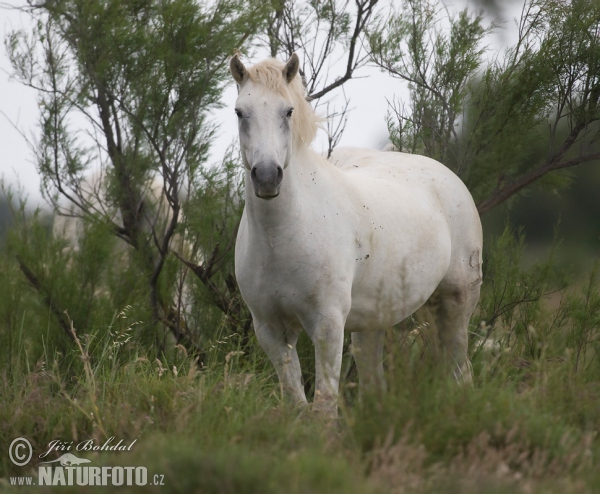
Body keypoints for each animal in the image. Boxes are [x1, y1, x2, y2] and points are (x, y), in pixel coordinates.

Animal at [230, 54, 482, 416]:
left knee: (460, 370)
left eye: (288, 111)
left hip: (456, 302)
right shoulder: (270, 330)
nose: (266, 177)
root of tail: (449, 177)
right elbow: (297, 402)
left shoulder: (328, 325)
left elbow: (323, 407)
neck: (279, 238)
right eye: (240, 112)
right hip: (371, 324)